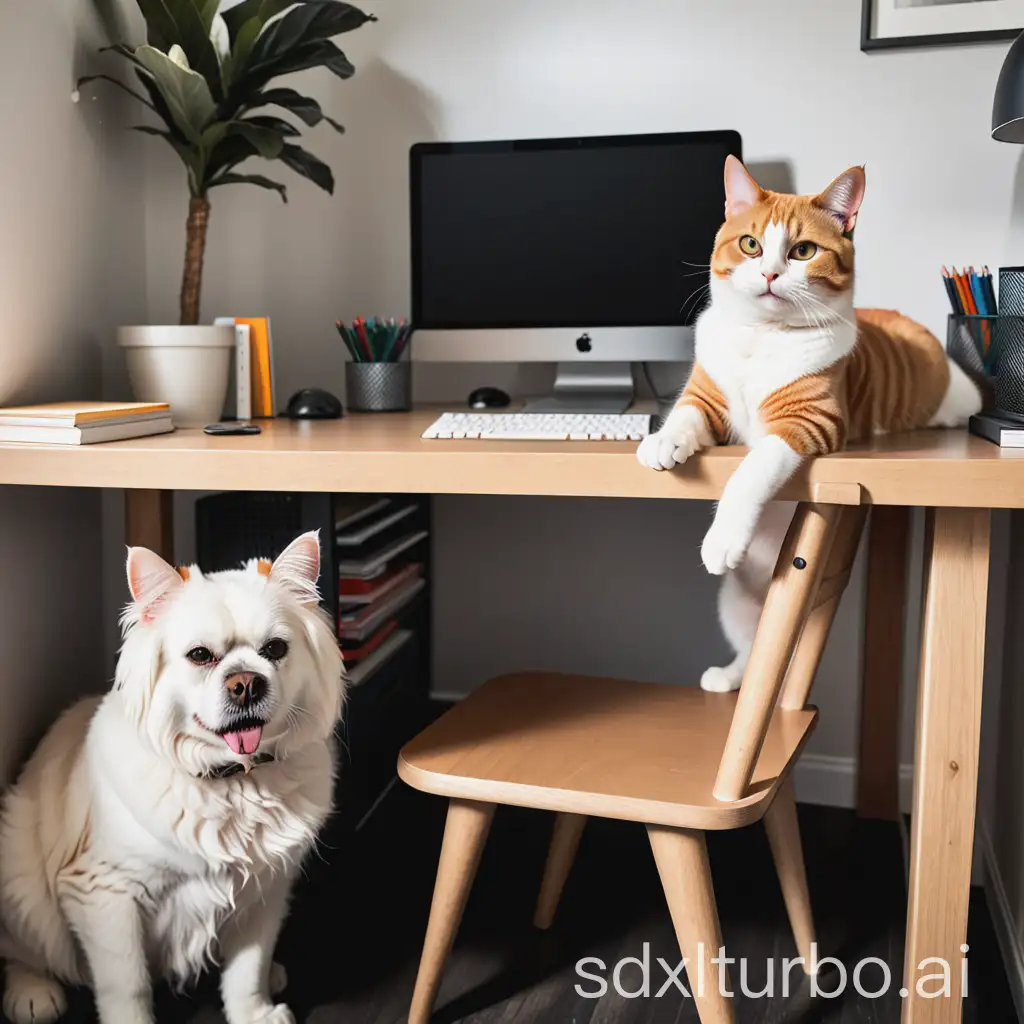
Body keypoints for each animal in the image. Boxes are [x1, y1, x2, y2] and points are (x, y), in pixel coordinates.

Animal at [0, 532, 346, 1024]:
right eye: (200, 656)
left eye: (275, 650)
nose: (246, 683)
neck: (234, 782)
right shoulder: (106, 893)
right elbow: (128, 987)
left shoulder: (265, 892)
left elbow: (249, 968)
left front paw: (255, 1013)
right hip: (18, 869)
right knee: (22, 951)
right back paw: (33, 995)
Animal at [638, 155, 983, 692]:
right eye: (751, 244)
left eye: (803, 251)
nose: (770, 273)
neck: (761, 337)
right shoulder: (707, 396)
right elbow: (686, 413)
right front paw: (663, 441)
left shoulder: (808, 420)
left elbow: (751, 469)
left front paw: (723, 537)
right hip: (734, 602)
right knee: (751, 650)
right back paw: (728, 677)